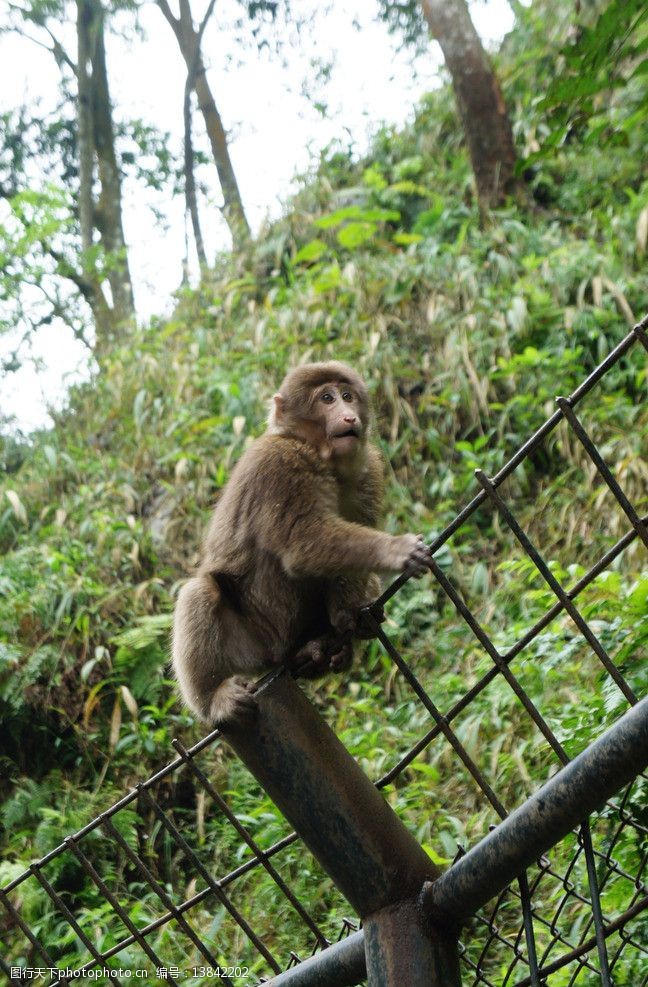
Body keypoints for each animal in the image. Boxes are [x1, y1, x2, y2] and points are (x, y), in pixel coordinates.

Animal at [171, 358, 430, 720]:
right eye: (327, 399)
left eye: (347, 396)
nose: (348, 416)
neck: (319, 456)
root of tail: (281, 652)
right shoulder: (279, 465)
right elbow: (301, 544)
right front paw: (396, 550)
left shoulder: (370, 471)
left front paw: (347, 611)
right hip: (251, 646)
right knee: (200, 592)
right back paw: (214, 699)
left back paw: (323, 650)